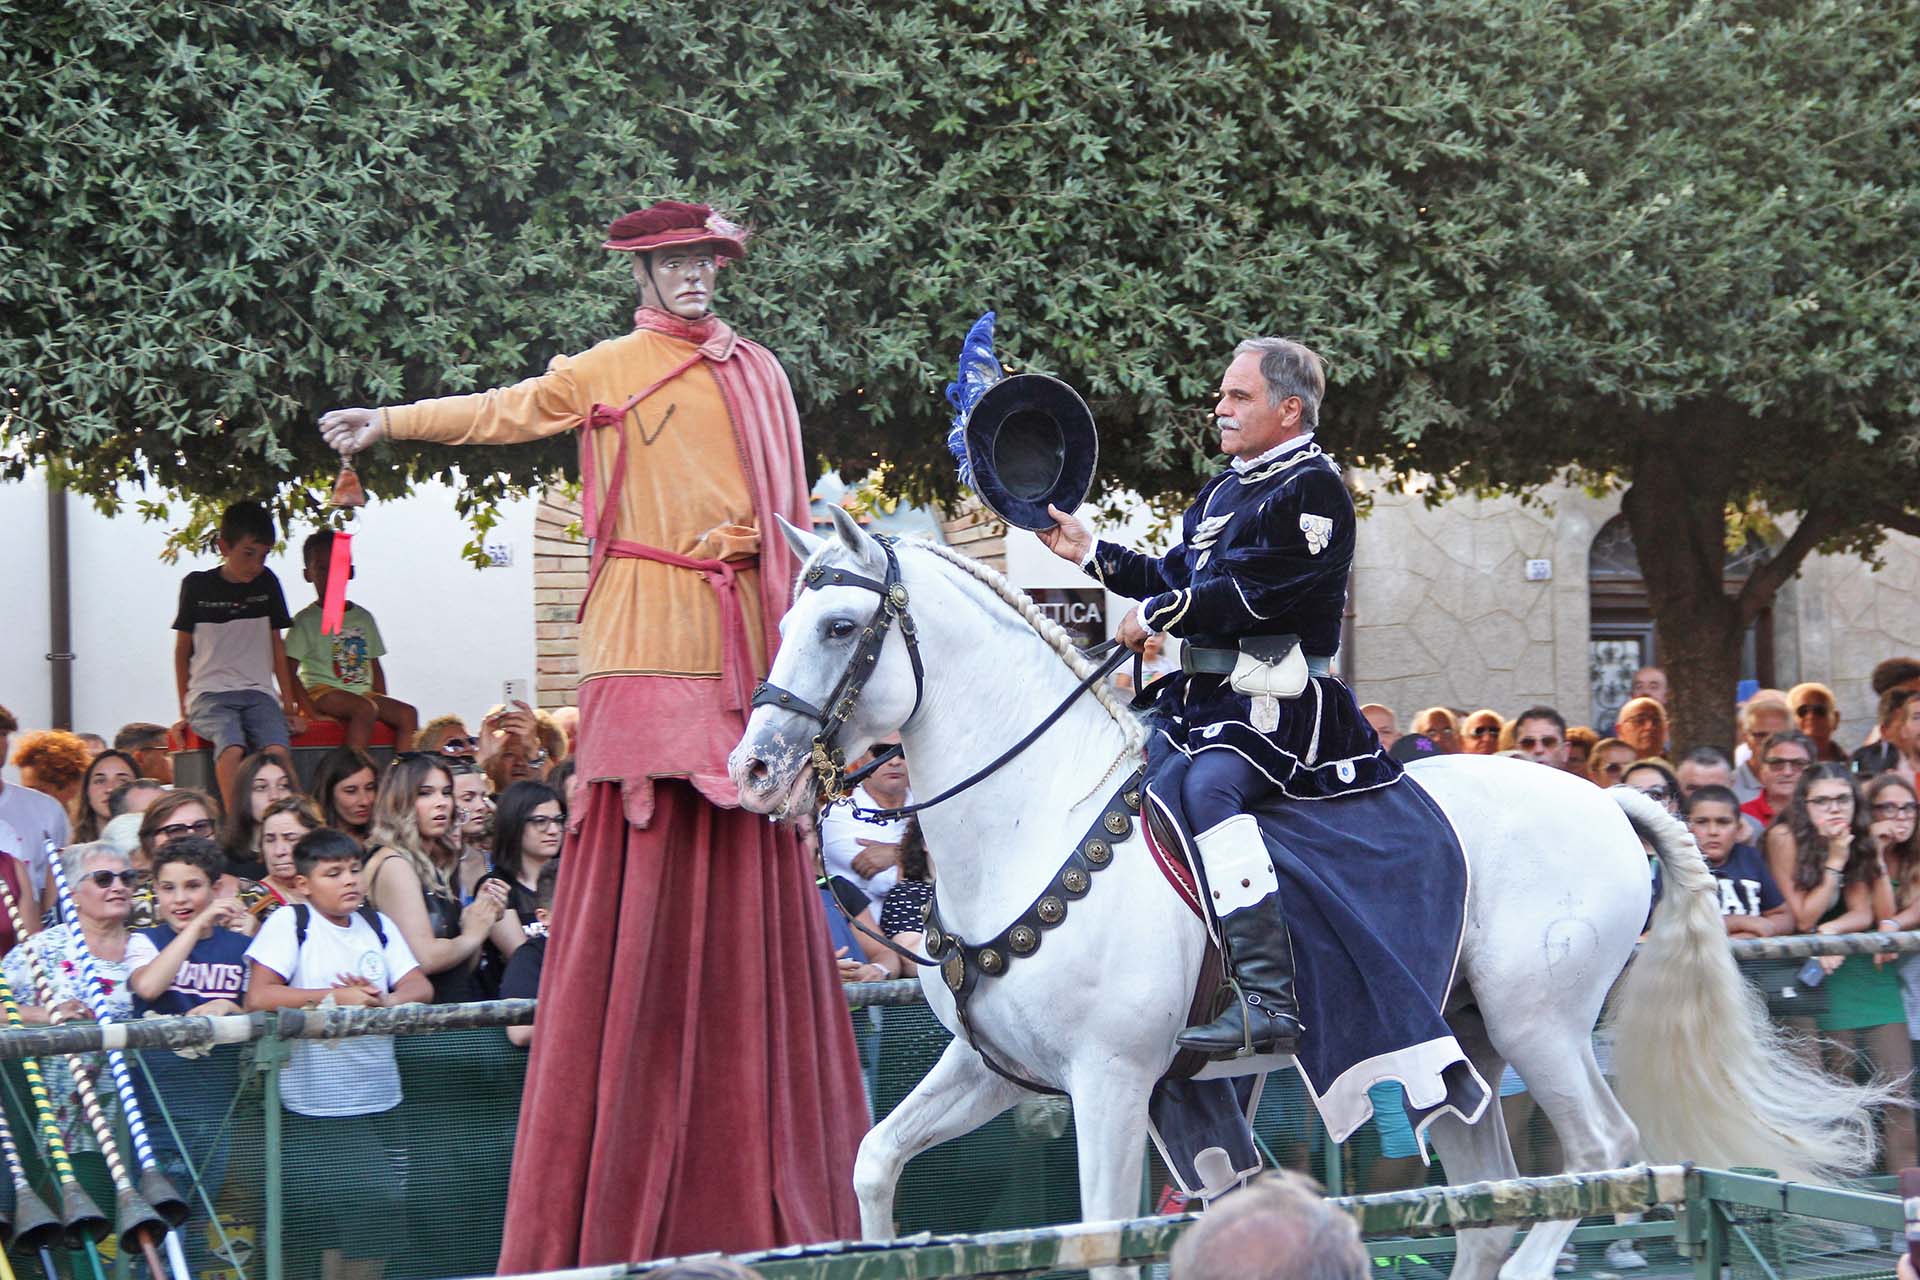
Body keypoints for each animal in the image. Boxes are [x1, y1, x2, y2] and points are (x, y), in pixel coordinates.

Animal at [725, 510, 1881, 1280]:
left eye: (837, 626)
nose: (753, 766)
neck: (1036, 817)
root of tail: (1606, 799)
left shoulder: (1111, 1081)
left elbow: (1100, 1239)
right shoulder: (998, 1069)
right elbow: (875, 1160)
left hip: (1541, 1024)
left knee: (1599, 1158)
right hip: (1460, 1046)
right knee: (1490, 1199)